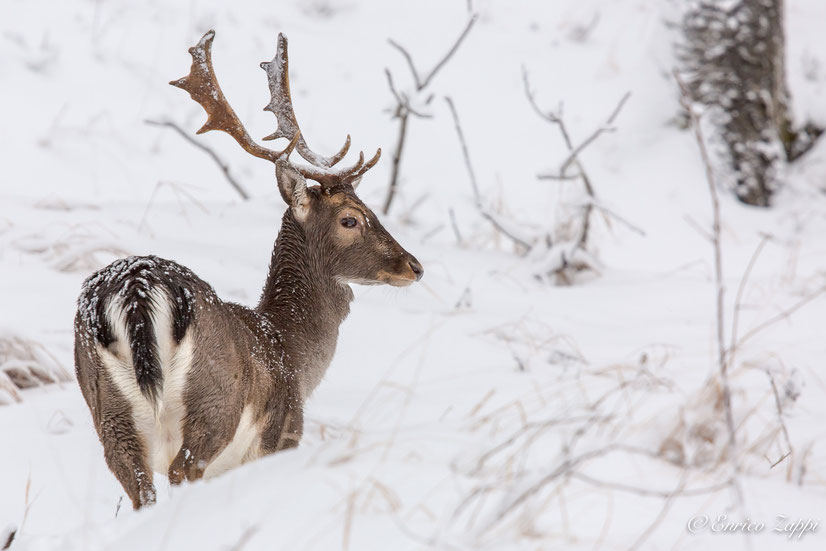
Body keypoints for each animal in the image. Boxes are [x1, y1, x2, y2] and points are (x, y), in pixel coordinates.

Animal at [73, 30, 422, 512]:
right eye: (351, 218)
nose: (414, 265)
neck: (291, 351)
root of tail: (136, 291)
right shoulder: (281, 434)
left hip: (109, 413)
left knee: (141, 489)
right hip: (215, 401)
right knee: (183, 469)